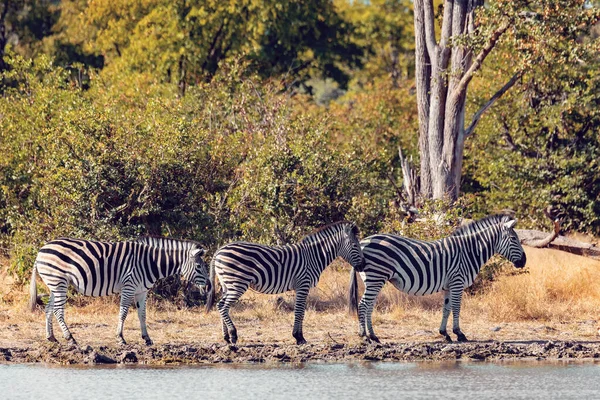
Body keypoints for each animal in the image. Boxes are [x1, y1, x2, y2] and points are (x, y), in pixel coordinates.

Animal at [29, 236, 211, 346]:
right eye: (198, 267)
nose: (209, 287)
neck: (151, 262)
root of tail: (41, 250)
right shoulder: (128, 287)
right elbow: (123, 313)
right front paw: (121, 338)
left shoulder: (141, 291)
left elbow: (142, 314)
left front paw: (147, 338)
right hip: (58, 282)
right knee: (58, 310)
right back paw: (70, 338)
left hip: (55, 284)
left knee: (48, 309)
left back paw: (51, 337)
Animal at [206, 220, 366, 346]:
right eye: (354, 245)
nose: (363, 266)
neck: (313, 256)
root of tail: (219, 250)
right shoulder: (303, 284)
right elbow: (299, 311)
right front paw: (299, 337)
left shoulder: (301, 287)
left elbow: (301, 312)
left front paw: (299, 336)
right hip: (237, 283)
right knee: (222, 306)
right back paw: (233, 335)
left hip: (227, 284)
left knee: (222, 305)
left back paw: (226, 337)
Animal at [346, 216, 524, 344]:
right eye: (514, 239)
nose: (524, 261)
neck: (469, 251)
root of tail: (362, 242)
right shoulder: (458, 281)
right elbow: (456, 308)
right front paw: (459, 334)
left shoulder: (449, 286)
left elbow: (446, 308)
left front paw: (445, 334)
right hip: (376, 277)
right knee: (363, 305)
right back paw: (364, 336)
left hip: (375, 279)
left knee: (369, 306)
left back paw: (374, 336)